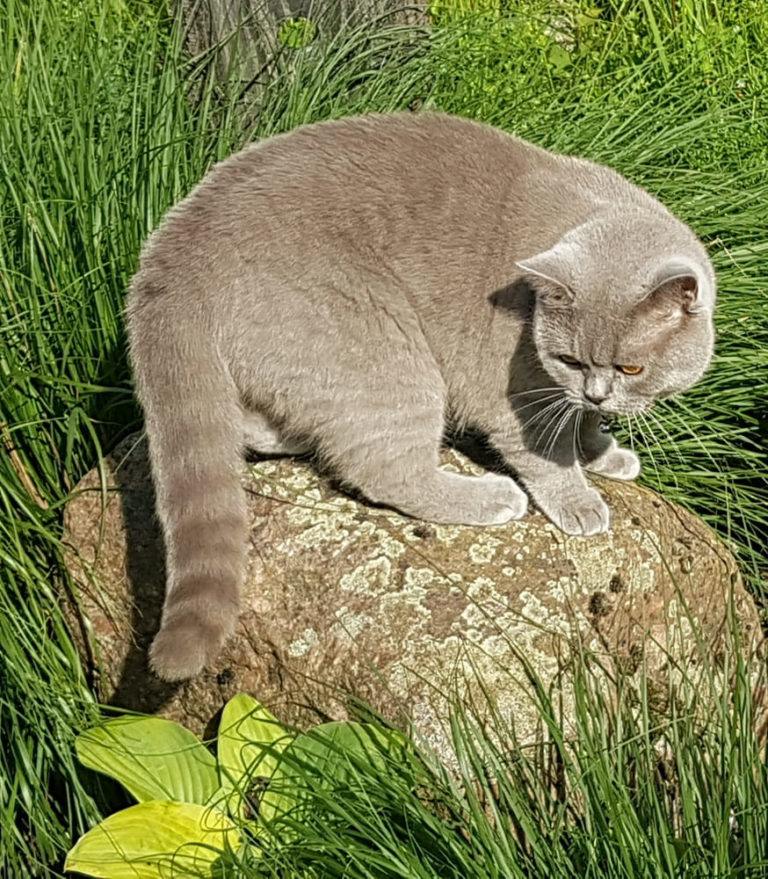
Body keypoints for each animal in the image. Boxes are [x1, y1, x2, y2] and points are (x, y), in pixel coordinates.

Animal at [126, 113, 712, 684]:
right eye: (569, 359)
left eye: (630, 368)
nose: (595, 392)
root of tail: (168, 256)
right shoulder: (516, 391)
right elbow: (545, 452)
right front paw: (580, 500)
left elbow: (581, 426)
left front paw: (602, 453)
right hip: (389, 354)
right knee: (383, 470)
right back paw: (490, 496)